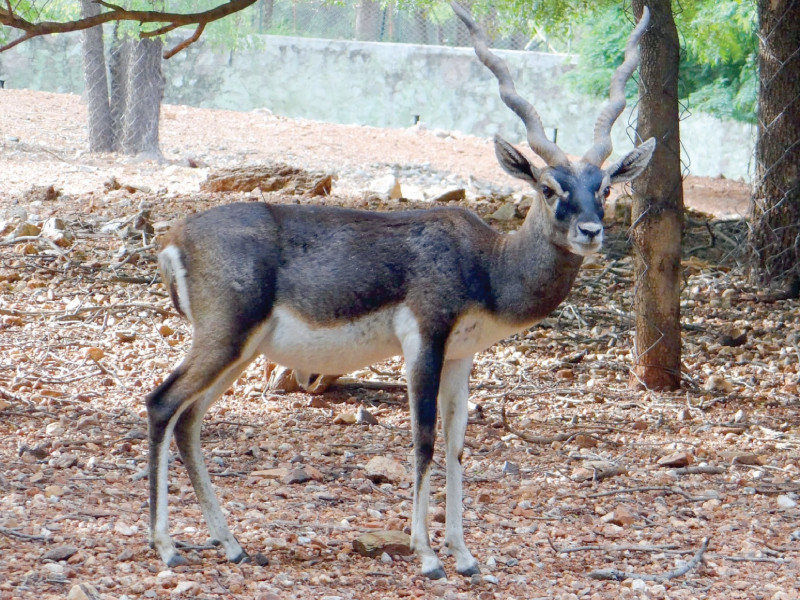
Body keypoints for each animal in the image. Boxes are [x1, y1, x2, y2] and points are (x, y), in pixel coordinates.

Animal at [147, 1, 652, 580]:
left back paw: (230, 544)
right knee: (162, 405)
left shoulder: (461, 355)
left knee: (189, 421)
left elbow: (457, 445)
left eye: (604, 189)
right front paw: (428, 555)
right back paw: (166, 547)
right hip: (225, 340)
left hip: (241, 351)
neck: (486, 263)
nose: (590, 232)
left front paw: (464, 554)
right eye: (549, 189)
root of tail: (175, 238)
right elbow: (424, 440)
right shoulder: (424, 343)